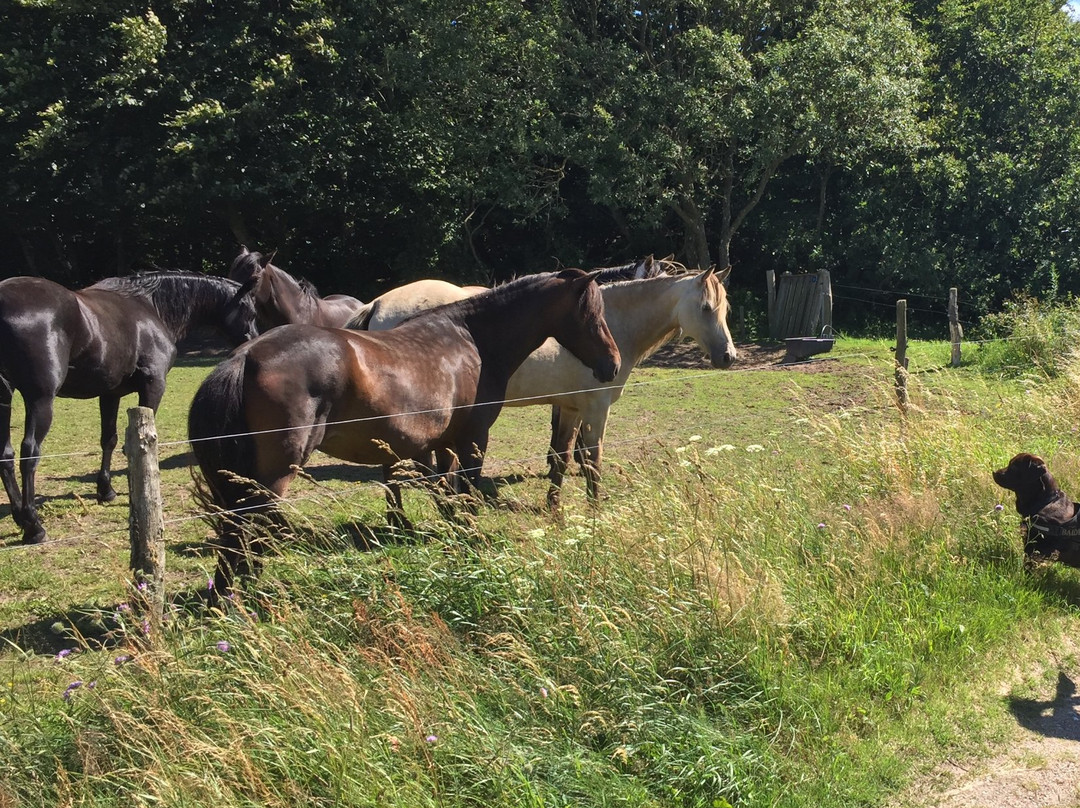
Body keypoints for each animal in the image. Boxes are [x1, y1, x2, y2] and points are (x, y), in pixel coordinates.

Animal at [0, 270, 259, 542]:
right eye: (250, 312)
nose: (254, 340)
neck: (150, 306)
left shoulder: (110, 394)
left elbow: (109, 440)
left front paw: (106, 490)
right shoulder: (153, 387)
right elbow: (141, 444)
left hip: (4, 400)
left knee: (5, 455)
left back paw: (20, 516)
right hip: (40, 400)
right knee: (29, 453)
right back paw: (33, 525)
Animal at [190, 267, 622, 591]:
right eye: (592, 314)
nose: (612, 365)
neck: (471, 339)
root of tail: (246, 355)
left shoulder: (445, 443)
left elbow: (448, 494)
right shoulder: (472, 439)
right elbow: (465, 495)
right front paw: (471, 544)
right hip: (274, 474)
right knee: (243, 532)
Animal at [501, 267, 738, 507]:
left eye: (724, 309)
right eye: (706, 307)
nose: (729, 356)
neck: (608, 329)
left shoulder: (571, 409)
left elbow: (562, 458)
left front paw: (554, 506)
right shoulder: (596, 410)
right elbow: (593, 461)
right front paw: (594, 511)